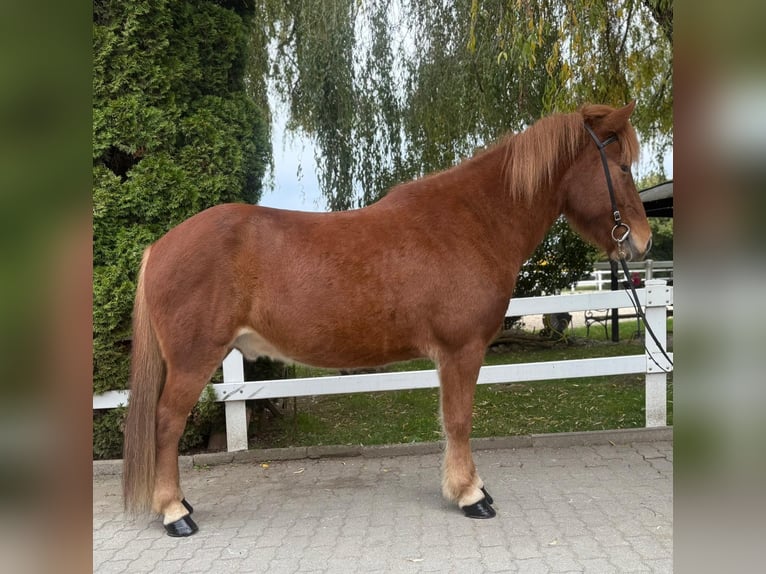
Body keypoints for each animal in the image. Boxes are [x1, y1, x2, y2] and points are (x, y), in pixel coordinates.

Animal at [122, 101, 651, 536]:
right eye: (623, 166)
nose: (642, 241)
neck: (472, 223)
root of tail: (159, 247)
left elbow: (451, 420)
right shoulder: (462, 350)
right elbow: (459, 420)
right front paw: (471, 495)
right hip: (193, 361)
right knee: (167, 423)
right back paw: (175, 513)